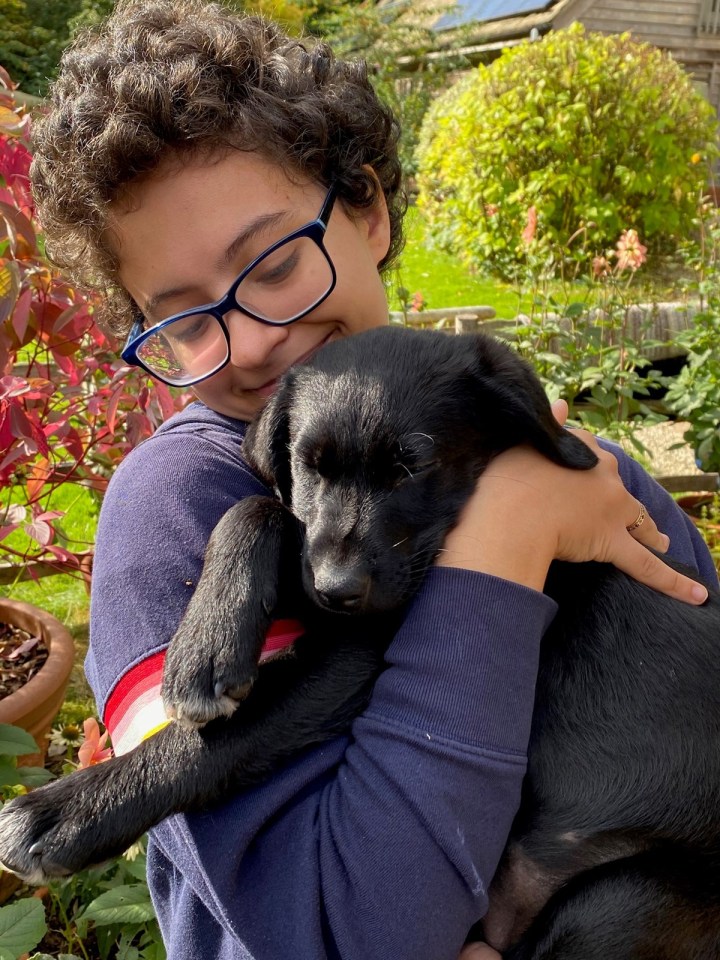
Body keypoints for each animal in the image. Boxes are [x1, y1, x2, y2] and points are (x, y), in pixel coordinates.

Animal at [1, 324, 720, 960]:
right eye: (306, 464)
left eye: (415, 464)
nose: (337, 590)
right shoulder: (321, 576)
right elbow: (258, 508)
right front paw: (207, 642)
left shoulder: (359, 646)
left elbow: (227, 736)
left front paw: (62, 813)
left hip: (632, 897)